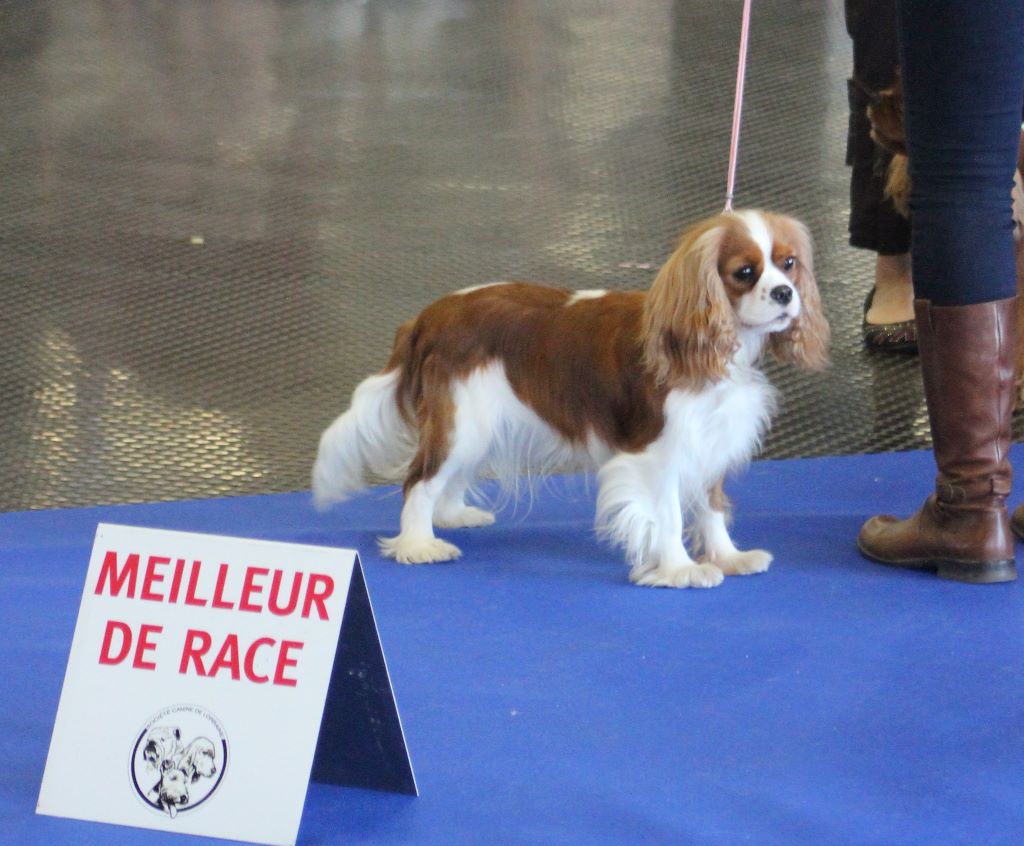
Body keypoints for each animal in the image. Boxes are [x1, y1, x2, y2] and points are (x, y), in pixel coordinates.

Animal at [313, 210, 831, 585]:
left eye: (789, 264)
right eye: (744, 272)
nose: (785, 294)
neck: (717, 349)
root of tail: (428, 316)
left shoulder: (710, 438)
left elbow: (710, 506)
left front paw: (728, 557)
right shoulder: (659, 451)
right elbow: (666, 512)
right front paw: (680, 569)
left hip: (476, 424)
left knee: (445, 477)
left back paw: (454, 516)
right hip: (463, 420)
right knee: (419, 481)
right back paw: (418, 545)